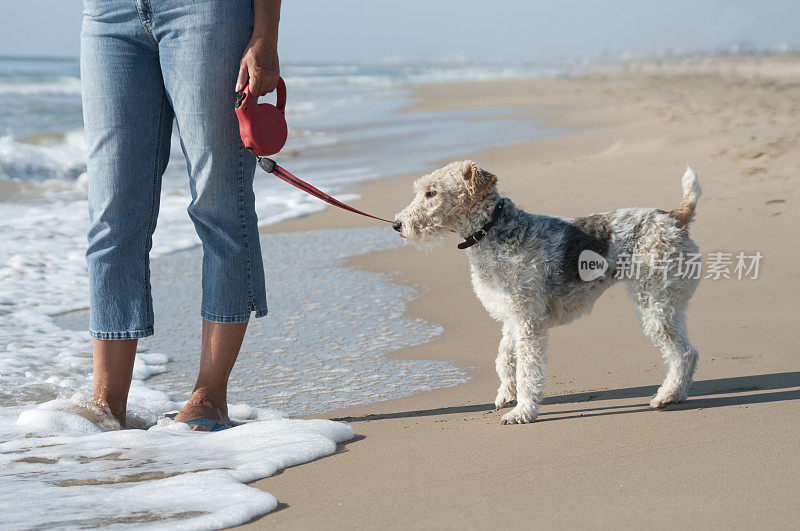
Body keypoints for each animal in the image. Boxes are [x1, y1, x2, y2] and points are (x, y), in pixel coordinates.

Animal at [392, 160, 700, 426]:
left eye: (431, 192)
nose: (397, 225)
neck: (493, 230)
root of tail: (675, 216)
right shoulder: (513, 315)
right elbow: (505, 357)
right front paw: (506, 394)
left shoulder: (529, 321)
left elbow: (527, 369)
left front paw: (522, 412)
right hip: (667, 303)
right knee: (690, 352)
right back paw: (678, 394)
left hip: (654, 302)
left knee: (683, 353)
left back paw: (665, 396)